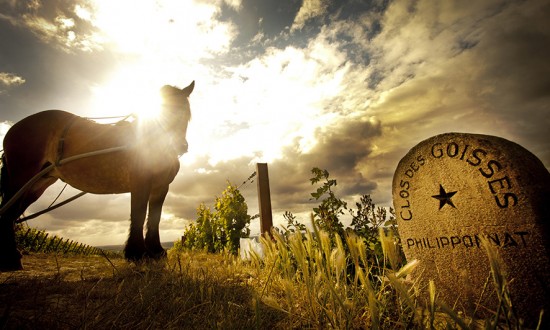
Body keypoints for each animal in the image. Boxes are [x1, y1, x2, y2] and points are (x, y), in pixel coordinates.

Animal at [0, 80, 196, 270]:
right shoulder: (140, 182)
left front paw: (156, 251)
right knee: (8, 212)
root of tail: (13, 128)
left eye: (186, 113)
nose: (180, 146)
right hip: (21, 178)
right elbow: (139, 214)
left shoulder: (161, 187)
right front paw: (137, 253)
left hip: (37, 184)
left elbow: (155, 218)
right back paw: (11, 258)